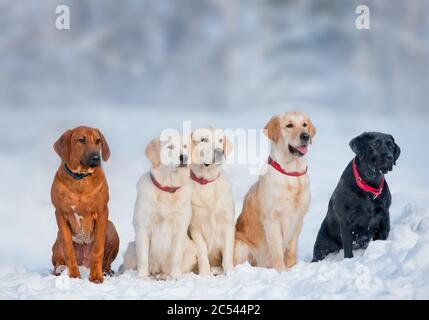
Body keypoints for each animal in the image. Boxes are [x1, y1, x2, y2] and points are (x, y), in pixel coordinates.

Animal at [118, 134, 196, 278]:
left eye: (185, 146)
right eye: (170, 146)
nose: (184, 157)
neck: (167, 189)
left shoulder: (180, 228)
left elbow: (176, 258)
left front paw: (175, 277)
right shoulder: (143, 227)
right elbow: (143, 258)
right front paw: (142, 277)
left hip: (190, 252)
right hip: (131, 248)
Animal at [189, 127, 234, 276]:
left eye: (220, 140)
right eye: (203, 140)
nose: (219, 152)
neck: (207, 181)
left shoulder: (228, 223)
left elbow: (227, 253)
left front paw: (230, 272)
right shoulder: (195, 227)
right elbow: (202, 251)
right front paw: (204, 274)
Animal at [234, 111, 314, 272]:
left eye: (304, 125)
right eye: (289, 125)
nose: (305, 136)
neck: (291, 173)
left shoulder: (299, 219)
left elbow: (291, 251)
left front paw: (292, 268)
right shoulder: (272, 220)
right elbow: (277, 251)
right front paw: (282, 271)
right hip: (241, 246)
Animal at [310, 131, 398, 262]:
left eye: (391, 146)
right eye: (375, 144)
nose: (389, 157)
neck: (369, 185)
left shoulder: (384, 219)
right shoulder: (346, 223)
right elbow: (348, 249)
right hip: (322, 247)